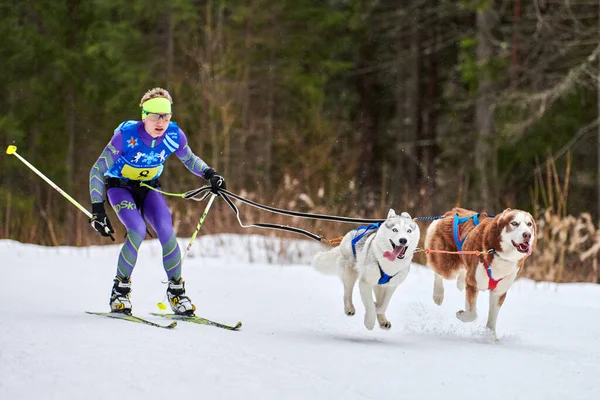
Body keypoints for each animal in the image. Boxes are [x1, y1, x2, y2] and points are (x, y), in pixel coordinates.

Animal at [424, 206, 536, 340]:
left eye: (529, 224)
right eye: (514, 223)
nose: (527, 235)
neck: (500, 255)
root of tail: (452, 212)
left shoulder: (499, 292)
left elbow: (492, 319)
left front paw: (491, 338)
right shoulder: (473, 284)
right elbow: (472, 314)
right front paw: (461, 315)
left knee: (463, 270)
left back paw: (460, 282)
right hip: (447, 264)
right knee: (438, 272)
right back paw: (438, 294)